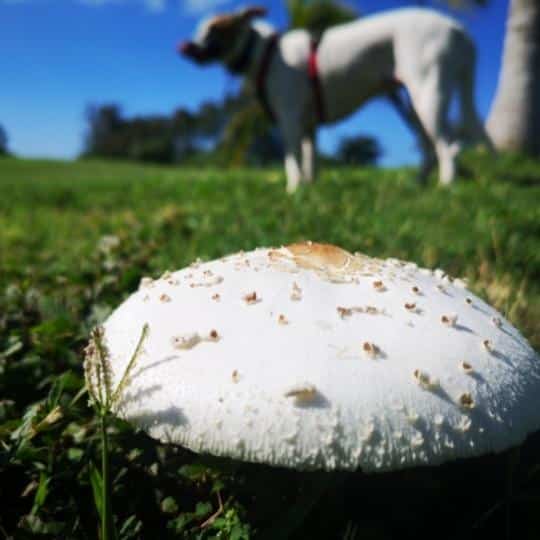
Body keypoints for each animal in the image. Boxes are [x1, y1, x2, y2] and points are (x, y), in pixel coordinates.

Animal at [179, 5, 492, 192]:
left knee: (449, 145)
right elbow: (311, 160)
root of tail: (458, 29)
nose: (185, 46)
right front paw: (309, 188)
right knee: (432, 143)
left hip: (427, 88)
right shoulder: (308, 124)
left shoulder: (289, 117)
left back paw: (444, 187)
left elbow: (292, 160)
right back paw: (418, 184)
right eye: (199, 28)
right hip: (411, 99)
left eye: (216, 29)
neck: (263, 52)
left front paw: (293, 190)